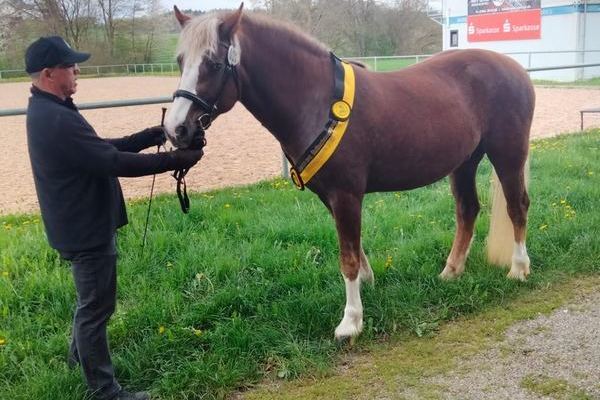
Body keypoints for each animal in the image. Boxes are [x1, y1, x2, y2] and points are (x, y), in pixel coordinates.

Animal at [163, 4, 536, 340]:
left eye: (213, 63)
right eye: (180, 61)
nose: (176, 129)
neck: (318, 102)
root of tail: (515, 68)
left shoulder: (345, 195)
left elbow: (347, 259)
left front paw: (351, 322)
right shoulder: (331, 197)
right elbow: (355, 249)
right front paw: (368, 285)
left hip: (507, 154)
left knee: (517, 205)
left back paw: (518, 268)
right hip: (464, 162)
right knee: (467, 210)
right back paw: (451, 271)